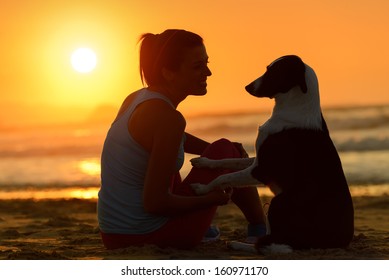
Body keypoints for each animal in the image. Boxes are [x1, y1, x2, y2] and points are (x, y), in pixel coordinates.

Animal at [191, 54, 354, 252]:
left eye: (272, 71)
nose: (247, 87)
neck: (295, 109)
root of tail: (338, 242)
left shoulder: (262, 170)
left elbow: (223, 177)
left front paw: (202, 189)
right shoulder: (257, 161)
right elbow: (228, 161)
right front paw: (204, 162)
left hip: (279, 201)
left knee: (268, 245)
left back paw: (238, 244)